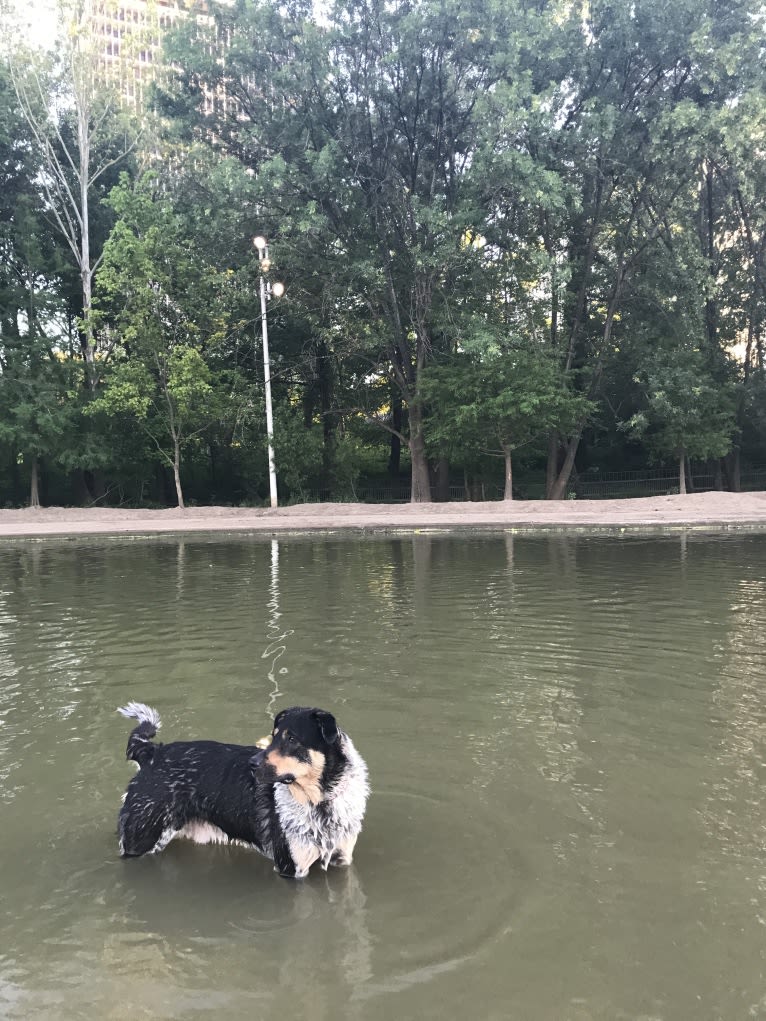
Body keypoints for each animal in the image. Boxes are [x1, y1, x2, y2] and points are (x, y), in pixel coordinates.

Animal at [116, 702, 371, 878]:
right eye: (273, 736)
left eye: (292, 739)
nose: (252, 763)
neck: (319, 803)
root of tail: (152, 752)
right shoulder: (291, 868)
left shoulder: (341, 861)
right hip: (140, 841)